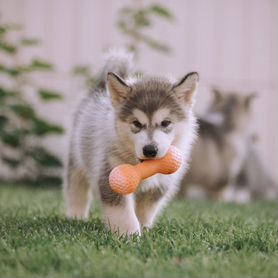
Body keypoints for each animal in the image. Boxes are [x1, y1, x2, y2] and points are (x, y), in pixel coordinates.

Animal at [64, 49, 199, 235]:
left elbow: (146, 209)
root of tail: (99, 90)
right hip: (77, 158)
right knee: (77, 189)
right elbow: (123, 212)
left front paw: (144, 228)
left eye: (165, 123)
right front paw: (130, 234)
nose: (150, 150)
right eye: (136, 123)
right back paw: (76, 217)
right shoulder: (111, 174)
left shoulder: (159, 185)